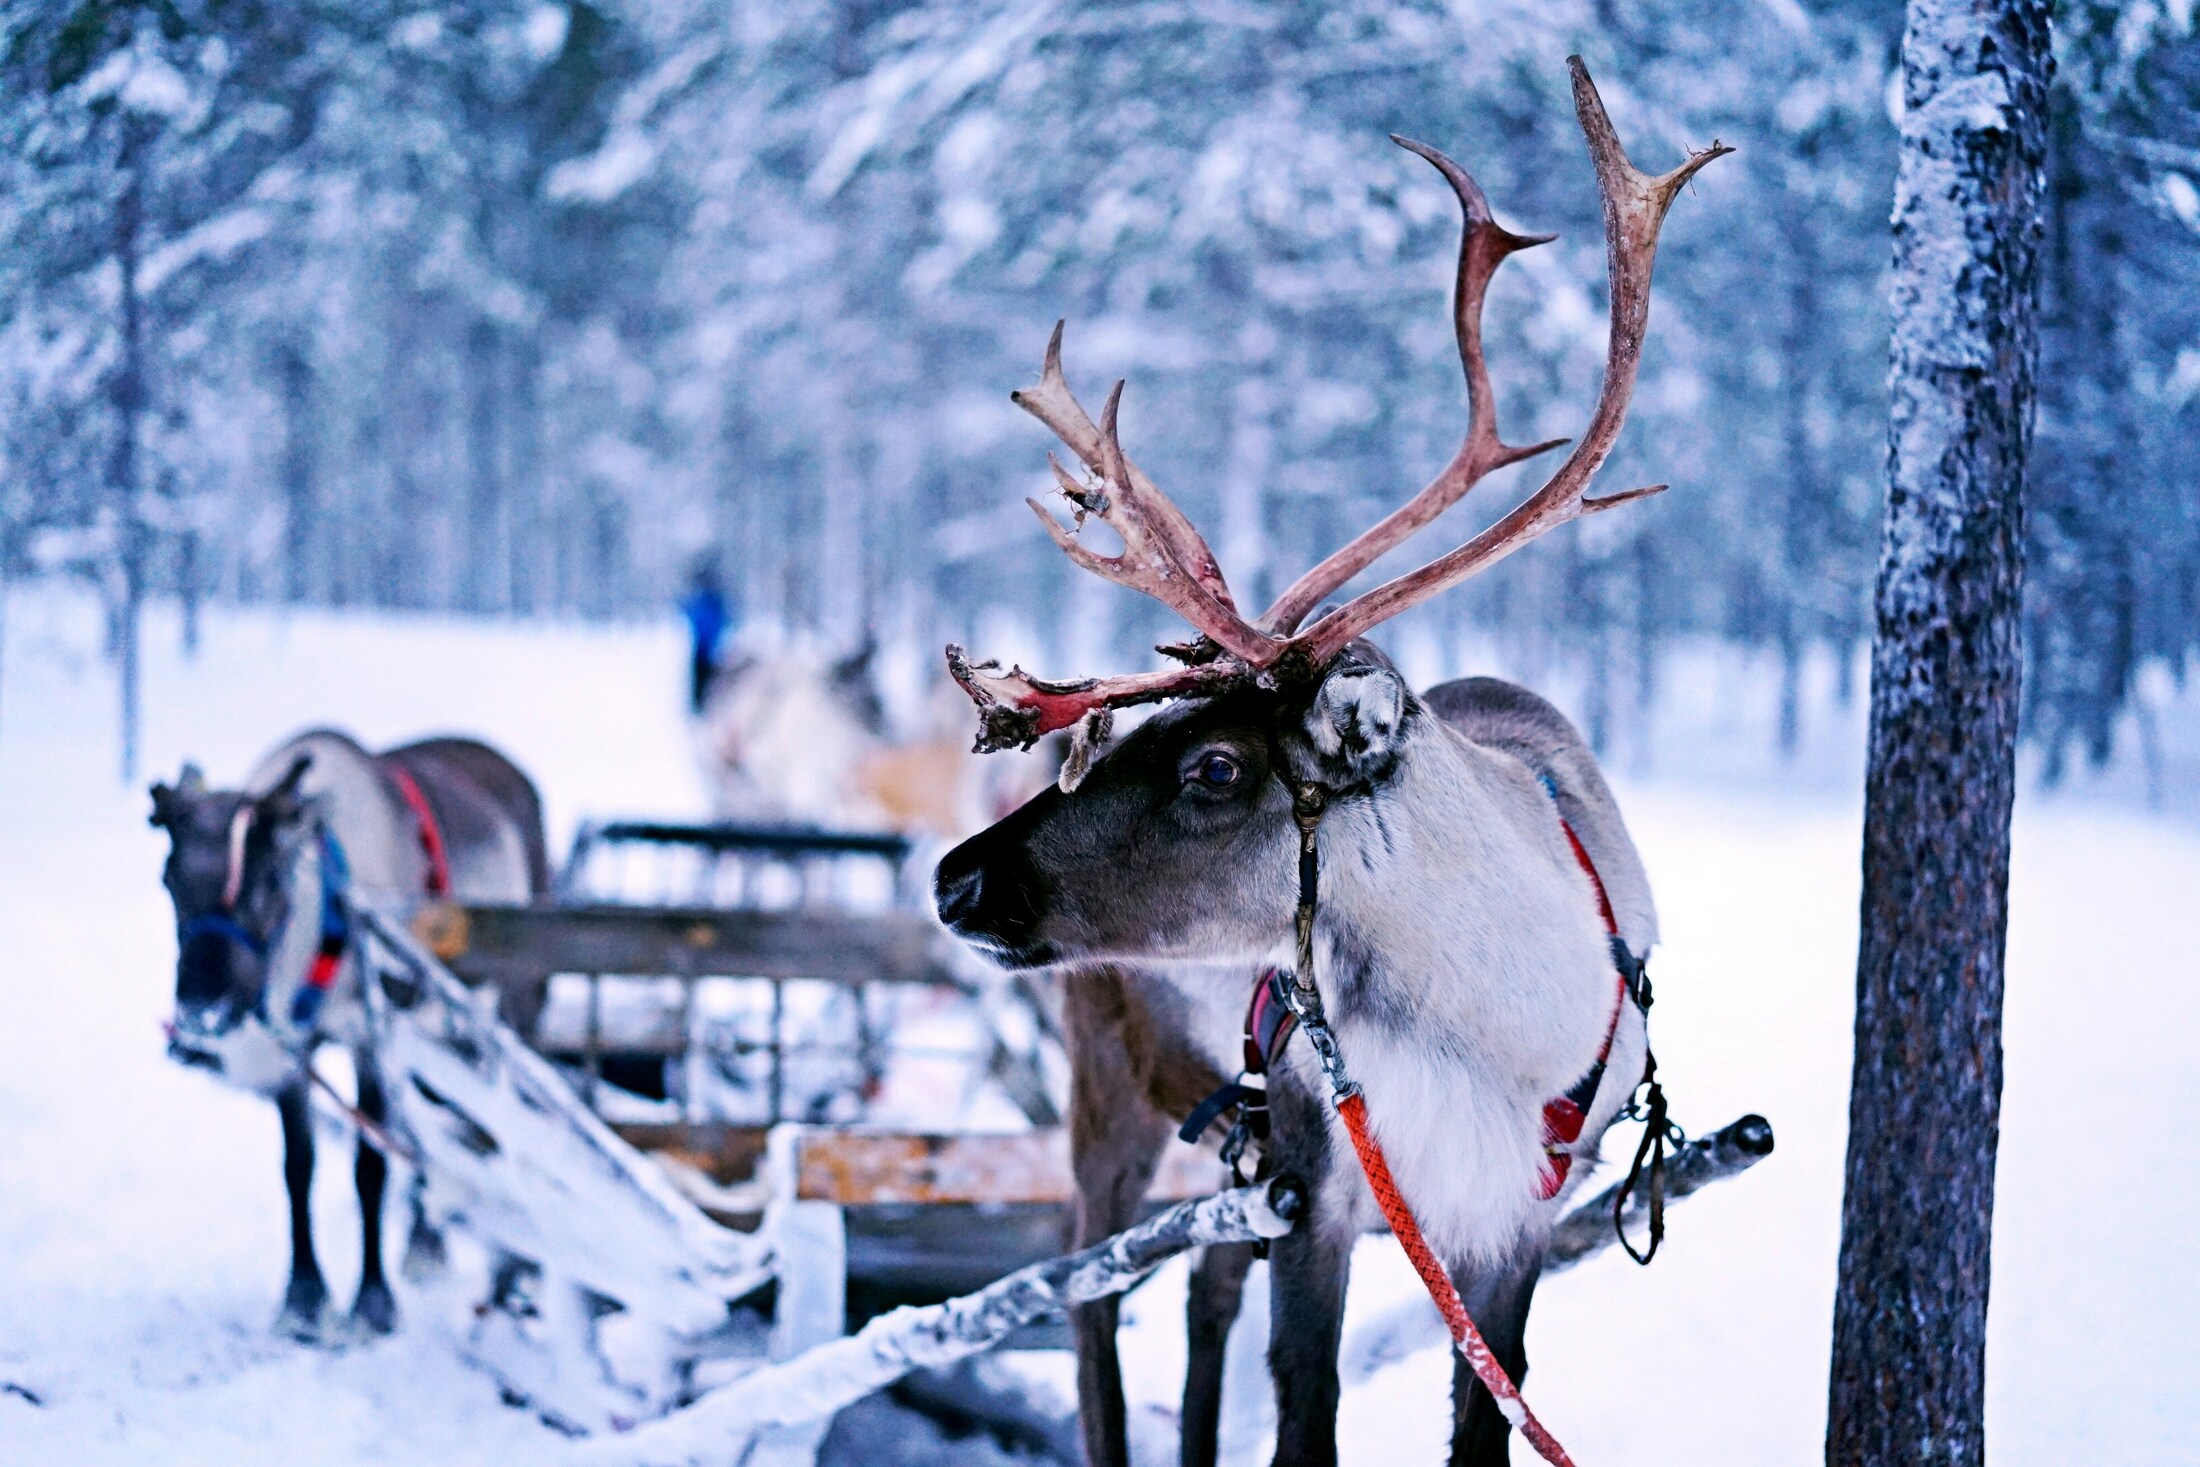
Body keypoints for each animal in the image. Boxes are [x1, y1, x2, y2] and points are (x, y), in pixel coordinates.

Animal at [931, 59, 1726, 1467]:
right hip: (1109, 1096)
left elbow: (1487, 1413)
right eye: (1140, 737)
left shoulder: (1509, 1215)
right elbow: (1306, 1409)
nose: (954, 879)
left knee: (1196, 1290)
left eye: (1212, 768)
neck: (1492, 1029)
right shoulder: (1321, 1181)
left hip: (1217, 1150)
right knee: (1088, 1288)